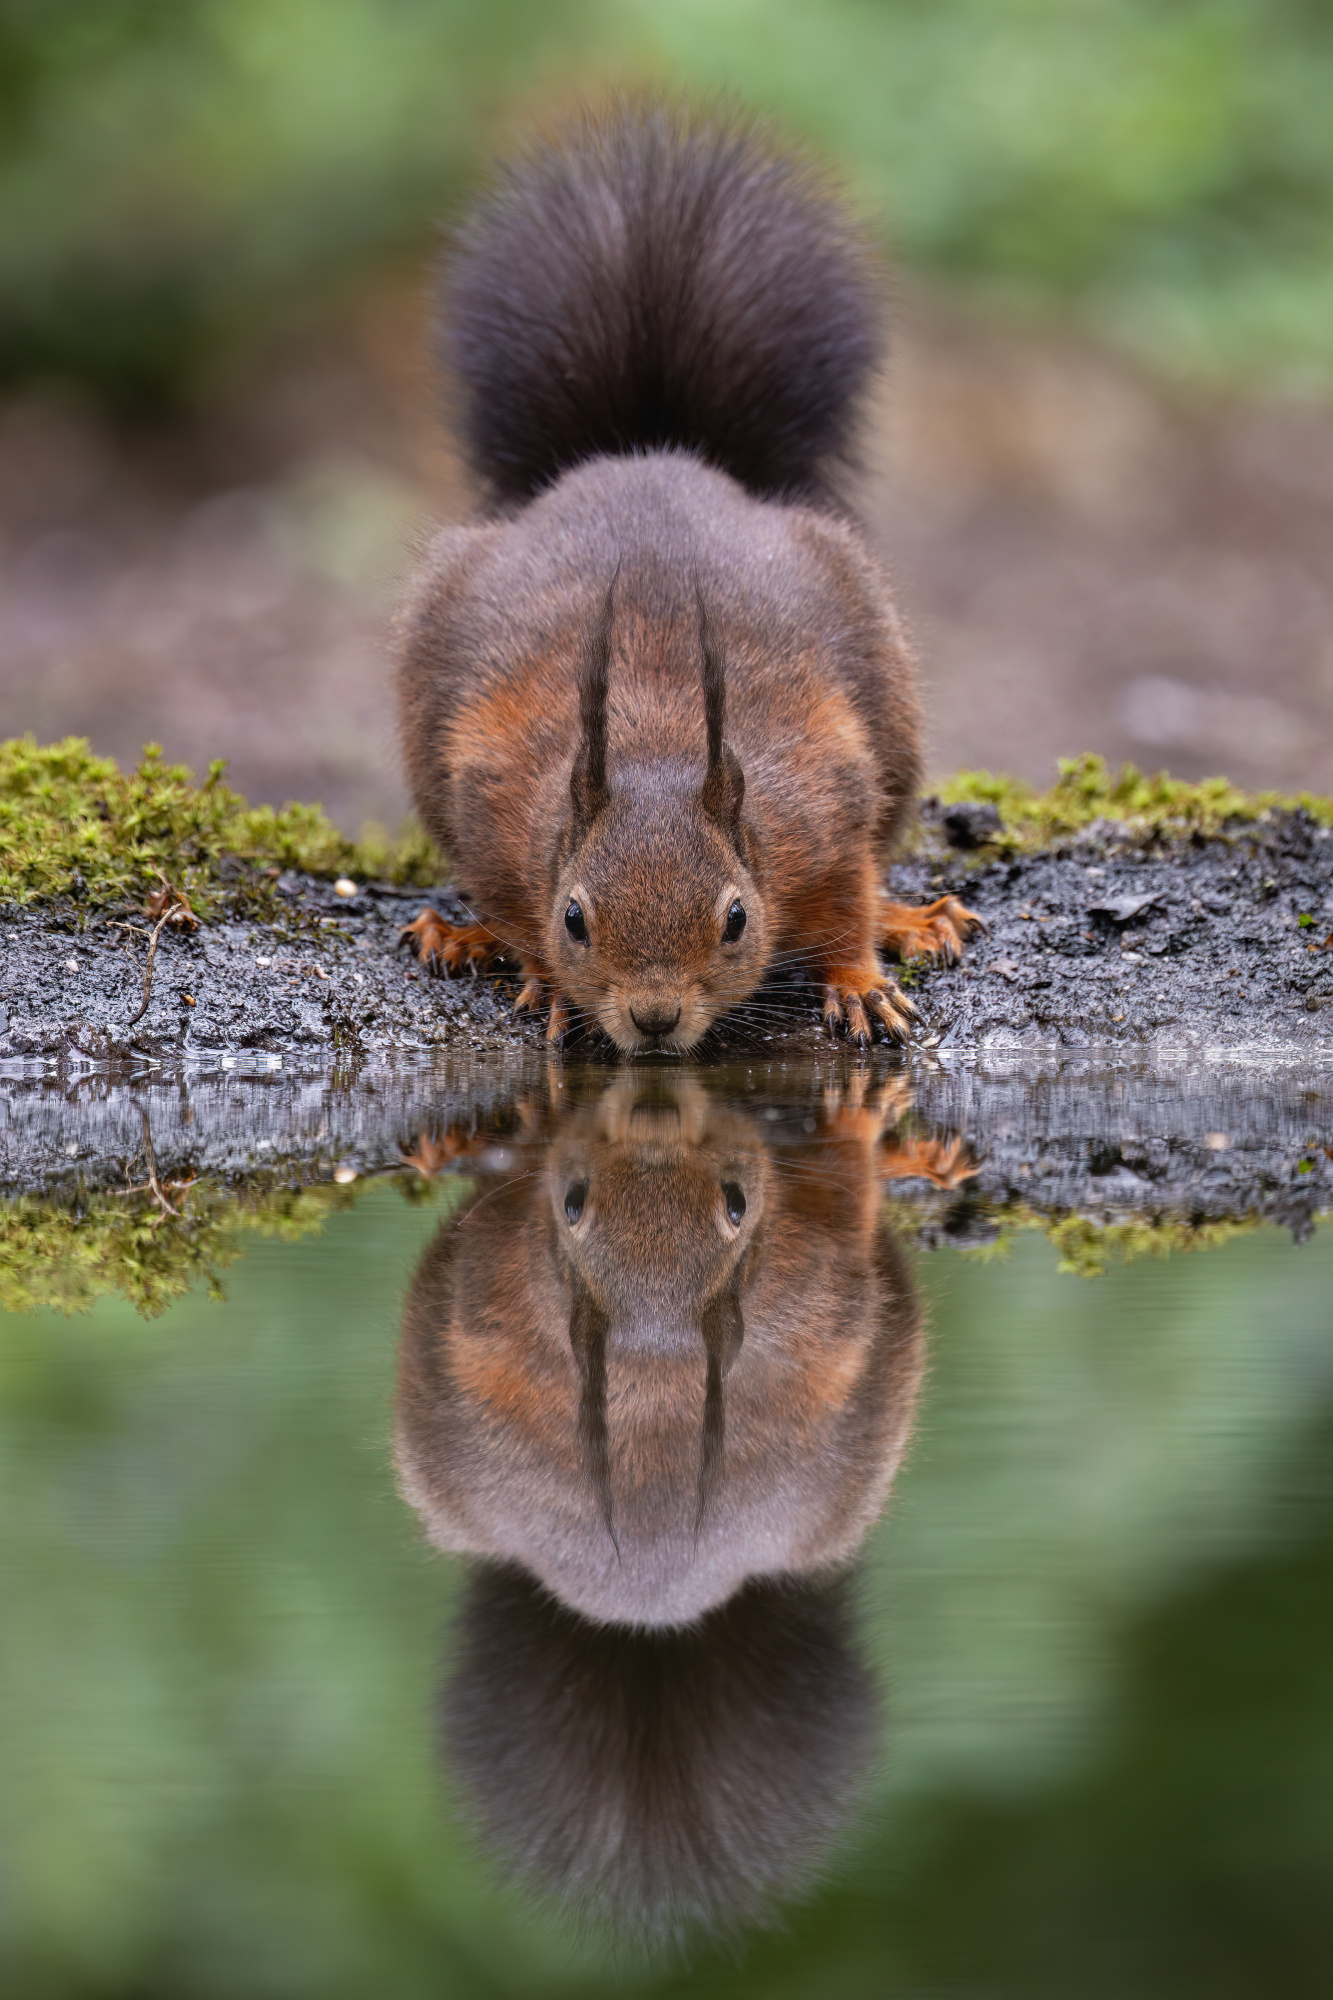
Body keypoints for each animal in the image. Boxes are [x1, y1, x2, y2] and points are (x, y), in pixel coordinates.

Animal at [397, 100, 982, 1053]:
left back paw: (911, 920)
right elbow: (513, 906)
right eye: (574, 919)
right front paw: (544, 980)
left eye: (736, 918)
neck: (656, 745)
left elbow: (847, 901)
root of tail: (650, 448)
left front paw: (860, 979)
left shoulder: (825, 806)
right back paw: (462, 935)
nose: (654, 1017)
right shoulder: (492, 809)